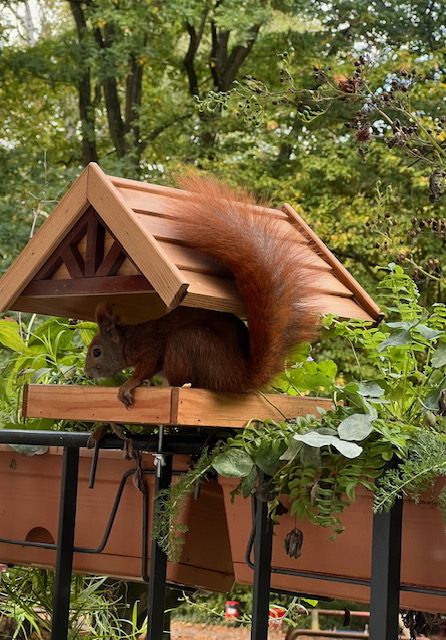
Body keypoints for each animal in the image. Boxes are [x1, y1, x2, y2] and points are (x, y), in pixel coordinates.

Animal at [84, 174, 318, 407]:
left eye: (97, 352)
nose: (87, 374)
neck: (128, 340)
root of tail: (238, 378)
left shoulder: (150, 346)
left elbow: (146, 367)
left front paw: (130, 383)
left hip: (188, 341)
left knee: (184, 380)